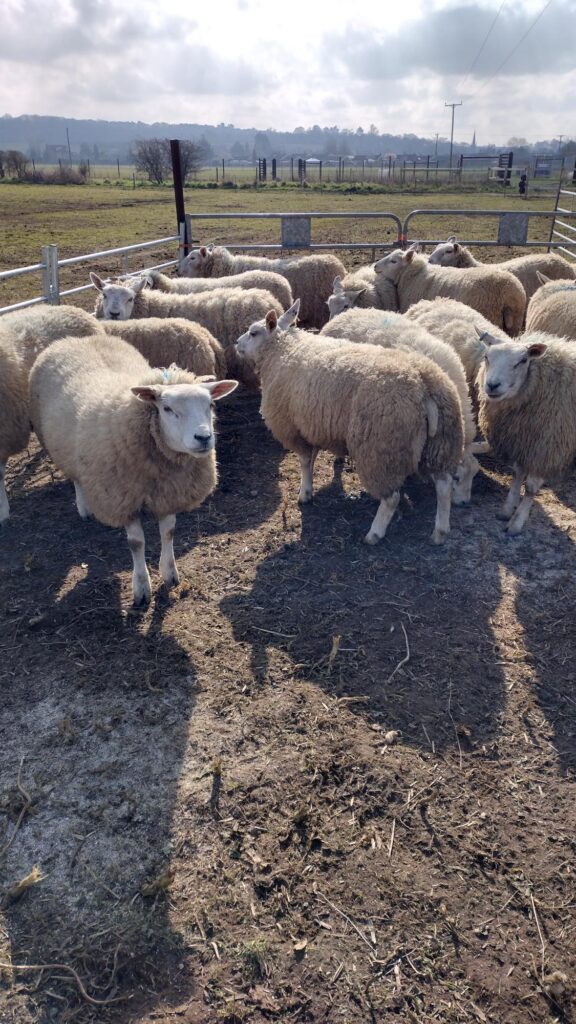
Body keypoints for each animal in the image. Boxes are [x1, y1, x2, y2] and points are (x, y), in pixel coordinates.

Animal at [29, 332, 238, 604]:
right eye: (167, 408)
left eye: (210, 405)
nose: (203, 438)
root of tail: (74, 338)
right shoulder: (123, 498)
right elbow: (136, 543)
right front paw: (141, 587)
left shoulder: (169, 493)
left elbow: (169, 532)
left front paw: (170, 574)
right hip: (60, 445)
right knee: (76, 477)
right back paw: (84, 507)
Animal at [235, 300, 464, 545]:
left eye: (253, 332)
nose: (236, 343)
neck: (283, 350)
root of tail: (422, 382)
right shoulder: (314, 425)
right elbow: (313, 458)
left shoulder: (293, 428)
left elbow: (305, 462)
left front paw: (305, 493)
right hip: (441, 443)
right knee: (444, 486)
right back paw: (440, 531)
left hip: (380, 448)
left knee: (392, 497)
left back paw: (374, 533)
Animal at [373, 248, 526, 335]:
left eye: (393, 261)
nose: (375, 266)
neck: (412, 275)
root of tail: (508, 296)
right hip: (515, 325)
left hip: (491, 315)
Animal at [477, 330, 576, 533]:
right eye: (486, 357)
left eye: (522, 361)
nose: (492, 385)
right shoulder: (523, 440)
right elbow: (517, 475)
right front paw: (507, 509)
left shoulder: (546, 446)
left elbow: (530, 488)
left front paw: (517, 522)